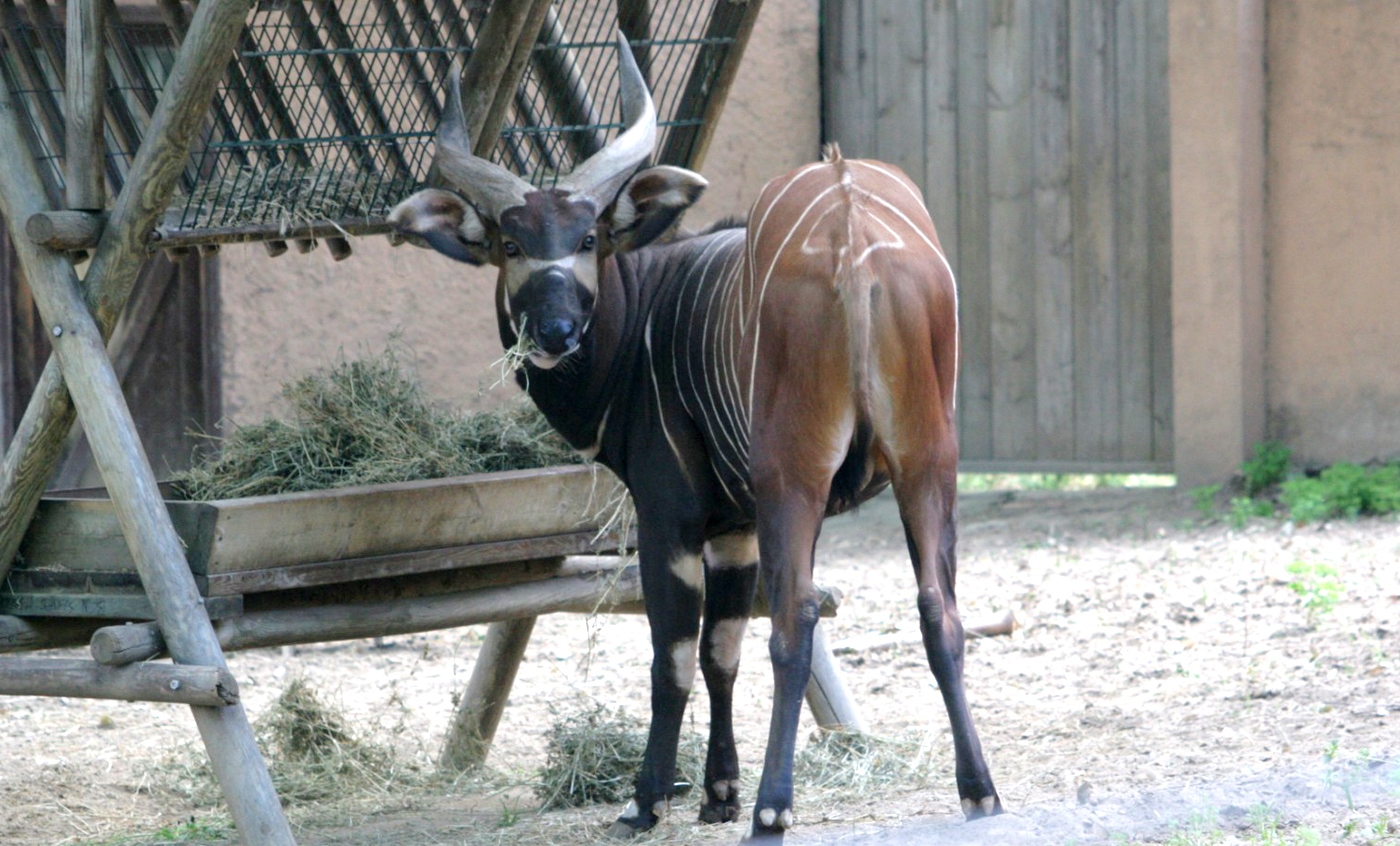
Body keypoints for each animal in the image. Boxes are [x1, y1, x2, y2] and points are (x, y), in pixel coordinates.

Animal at [394, 31, 1002, 840]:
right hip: (926, 463)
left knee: (797, 615)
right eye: (510, 243)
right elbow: (722, 651)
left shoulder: (671, 516)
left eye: (587, 237)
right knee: (938, 608)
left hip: (795, 479)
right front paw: (718, 793)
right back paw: (979, 791)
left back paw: (775, 809)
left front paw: (648, 800)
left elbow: (676, 654)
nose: (555, 331)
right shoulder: (733, 528)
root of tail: (851, 229)